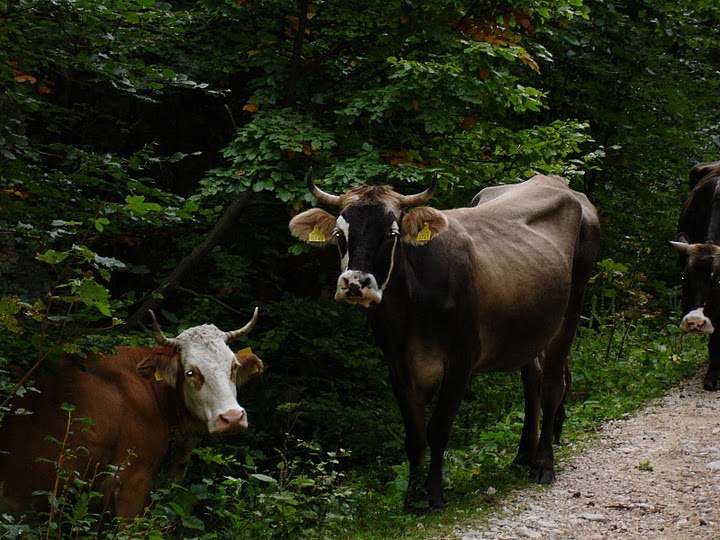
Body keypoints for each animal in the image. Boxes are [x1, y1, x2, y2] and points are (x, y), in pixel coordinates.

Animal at [290, 174, 600, 510]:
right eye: (340, 233)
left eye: (391, 234)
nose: (355, 284)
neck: (410, 311)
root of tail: (553, 181)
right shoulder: (397, 366)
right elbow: (415, 438)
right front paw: (412, 496)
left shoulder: (460, 362)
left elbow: (438, 430)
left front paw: (434, 495)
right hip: (529, 328)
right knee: (532, 381)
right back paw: (522, 456)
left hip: (571, 308)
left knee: (552, 385)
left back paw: (542, 464)